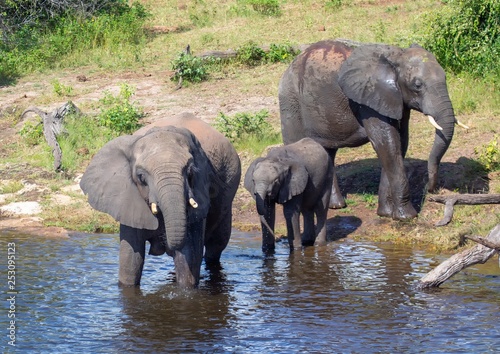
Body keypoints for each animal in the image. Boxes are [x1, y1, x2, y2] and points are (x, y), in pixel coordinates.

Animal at [79, 113, 241, 288]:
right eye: (141, 177)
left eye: (190, 172)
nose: (166, 244)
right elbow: (131, 259)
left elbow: (189, 258)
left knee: (217, 244)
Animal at [280, 39, 466, 221]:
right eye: (417, 85)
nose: (431, 189)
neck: (396, 56)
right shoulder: (368, 101)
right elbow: (387, 143)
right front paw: (407, 217)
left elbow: (399, 143)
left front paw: (386, 214)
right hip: (291, 103)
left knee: (327, 153)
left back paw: (336, 206)